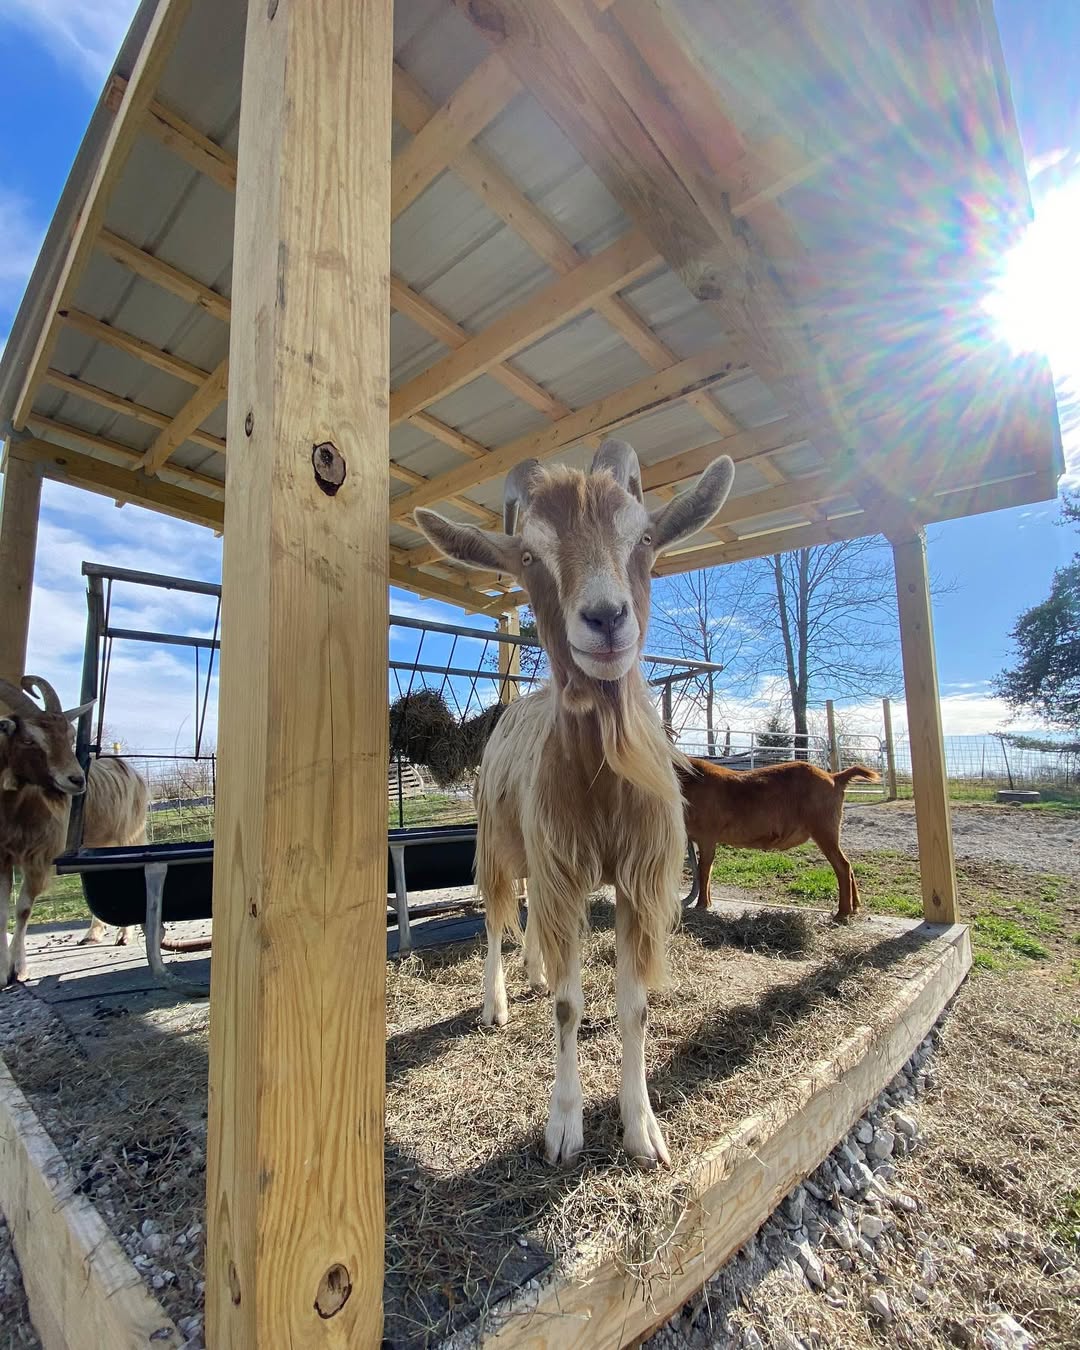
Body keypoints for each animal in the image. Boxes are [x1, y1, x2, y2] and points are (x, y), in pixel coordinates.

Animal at [0, 677, 148, 982]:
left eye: (70, 736)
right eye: (28, 740)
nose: (77, 780)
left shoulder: (39, 855)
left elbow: (23, 908)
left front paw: (18, 969)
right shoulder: (3, 854)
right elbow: (2, 910)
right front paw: (2, 971)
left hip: (129, 836)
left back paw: (123, 934)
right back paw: (94, 933)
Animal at [416, 439, 734, 1167]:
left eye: (644, 538)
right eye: (530, 555)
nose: (607, 619)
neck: (604, 785)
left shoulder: (636, 878)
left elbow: (633, 1006)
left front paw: (643, 1130)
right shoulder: (563, 868)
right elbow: (568, 1006)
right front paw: (564, 1129)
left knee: (532, 914)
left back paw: (534, 971)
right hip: (497, 842)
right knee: (495, 915)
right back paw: (499, 1002)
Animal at [679, 757, 879, 920]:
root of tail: (835, 777)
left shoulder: (707, 834)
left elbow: (704, 869)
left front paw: (701, 905)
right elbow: (708, 867)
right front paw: (706, 903)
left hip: (824, 827)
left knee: (842, 865)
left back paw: (842, 914)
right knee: (848, 864)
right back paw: (855, 908)